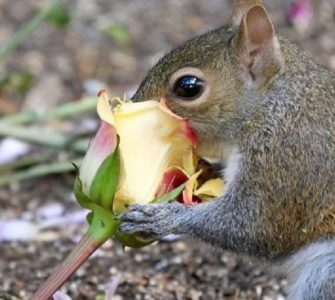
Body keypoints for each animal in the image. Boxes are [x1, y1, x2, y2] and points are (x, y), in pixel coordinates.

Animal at [118, 0, 335, 298]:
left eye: (188, 87)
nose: (134, 106)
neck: (268, 109)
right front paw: (203, 172)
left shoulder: (287, 162)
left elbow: (253, 228)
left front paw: (162, 218)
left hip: (325, 275)